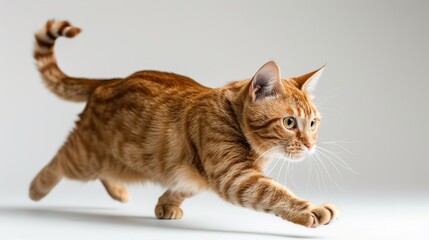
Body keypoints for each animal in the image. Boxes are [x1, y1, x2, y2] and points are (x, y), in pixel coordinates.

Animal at [29, 19, 338, 228]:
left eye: (313, 123)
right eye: (289, 122)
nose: (310, 145)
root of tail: (110, 80)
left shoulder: (201, 175)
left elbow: (182, 187)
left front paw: (165, 204)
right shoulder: (235, 177)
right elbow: (274, 193)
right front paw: (309, 209)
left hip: (113, 159)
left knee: (105, 172)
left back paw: (119, 191)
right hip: (86, 157)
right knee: (60, 159)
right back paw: (37, 187)